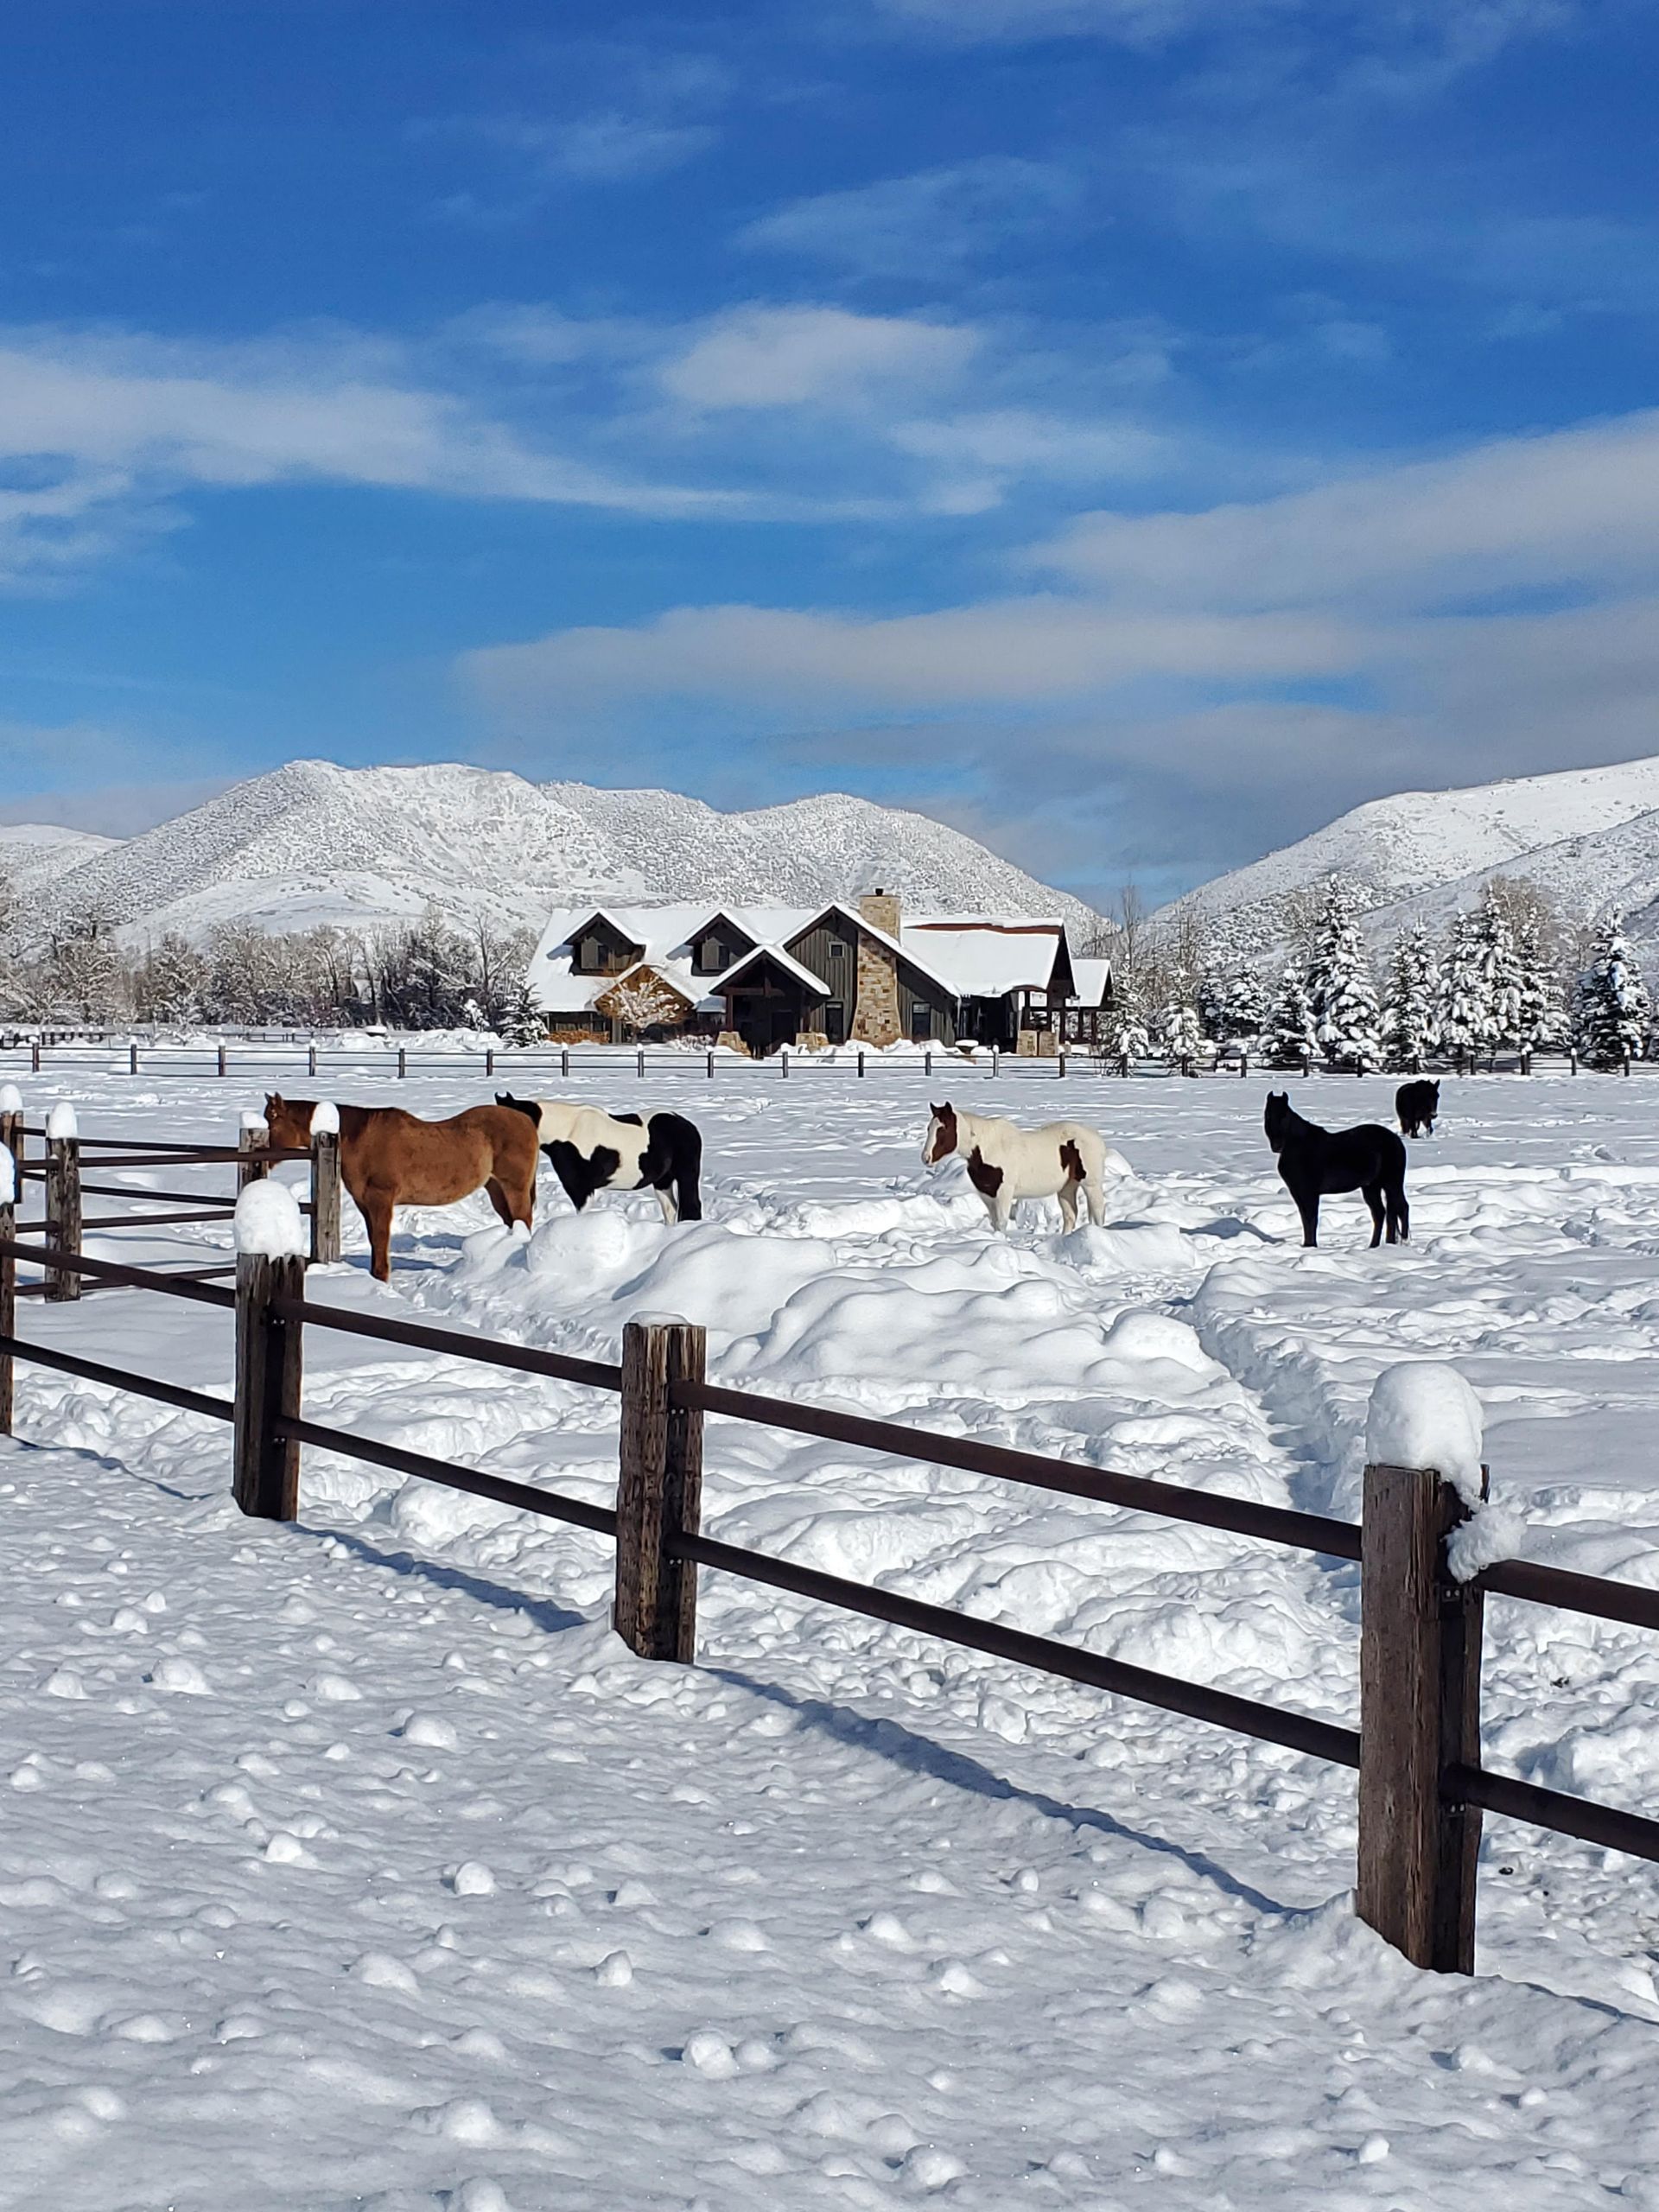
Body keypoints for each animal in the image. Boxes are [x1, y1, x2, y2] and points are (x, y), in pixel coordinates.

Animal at [263, 1095, 539, 1282]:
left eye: (273, 1120)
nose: (266, 1157)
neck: (361, 1140)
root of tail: (526, 1121)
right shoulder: (365, 1204)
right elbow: (375, 1241)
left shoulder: (381, 1201)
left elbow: (381, 1240)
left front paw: (382, 1279)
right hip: (496, 1189)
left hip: (514, 1189)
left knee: (523, 1220)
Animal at [495, 1095, 703, 1224]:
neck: (566, 1132)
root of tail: (689, 1126)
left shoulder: (581, 1188)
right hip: (663, 1181)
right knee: (671, 1210)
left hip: (686, 1176)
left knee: (691, 1208)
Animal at [922, 1101, 1128, 1232]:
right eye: (929, 1128)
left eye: (943, 1129)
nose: (926, 1158)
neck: (988, 1147)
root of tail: (1097, 1137)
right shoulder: (987, 1195)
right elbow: (995, 1224)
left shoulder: (1004, 1193)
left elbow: (1002, 1224)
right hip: (1067, 1188)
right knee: (1070, 1216)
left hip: (1091, 1185)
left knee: (1098, 1213)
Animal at [1263, 1091, 1408, 1249]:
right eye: (1268, 1115)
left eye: (1284, 1116)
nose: (1277, 1146)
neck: (1300, 1146)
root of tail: (1395, 1139)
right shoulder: (1298, 1193)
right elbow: (1305, 1220)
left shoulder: (1310, 1193)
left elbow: (1311, 1220)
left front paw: (1311, 1246)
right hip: (1371, 1187)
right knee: (1382, 1214)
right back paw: (1376, 1246)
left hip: (1392, 1185)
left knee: (1400, 1209)